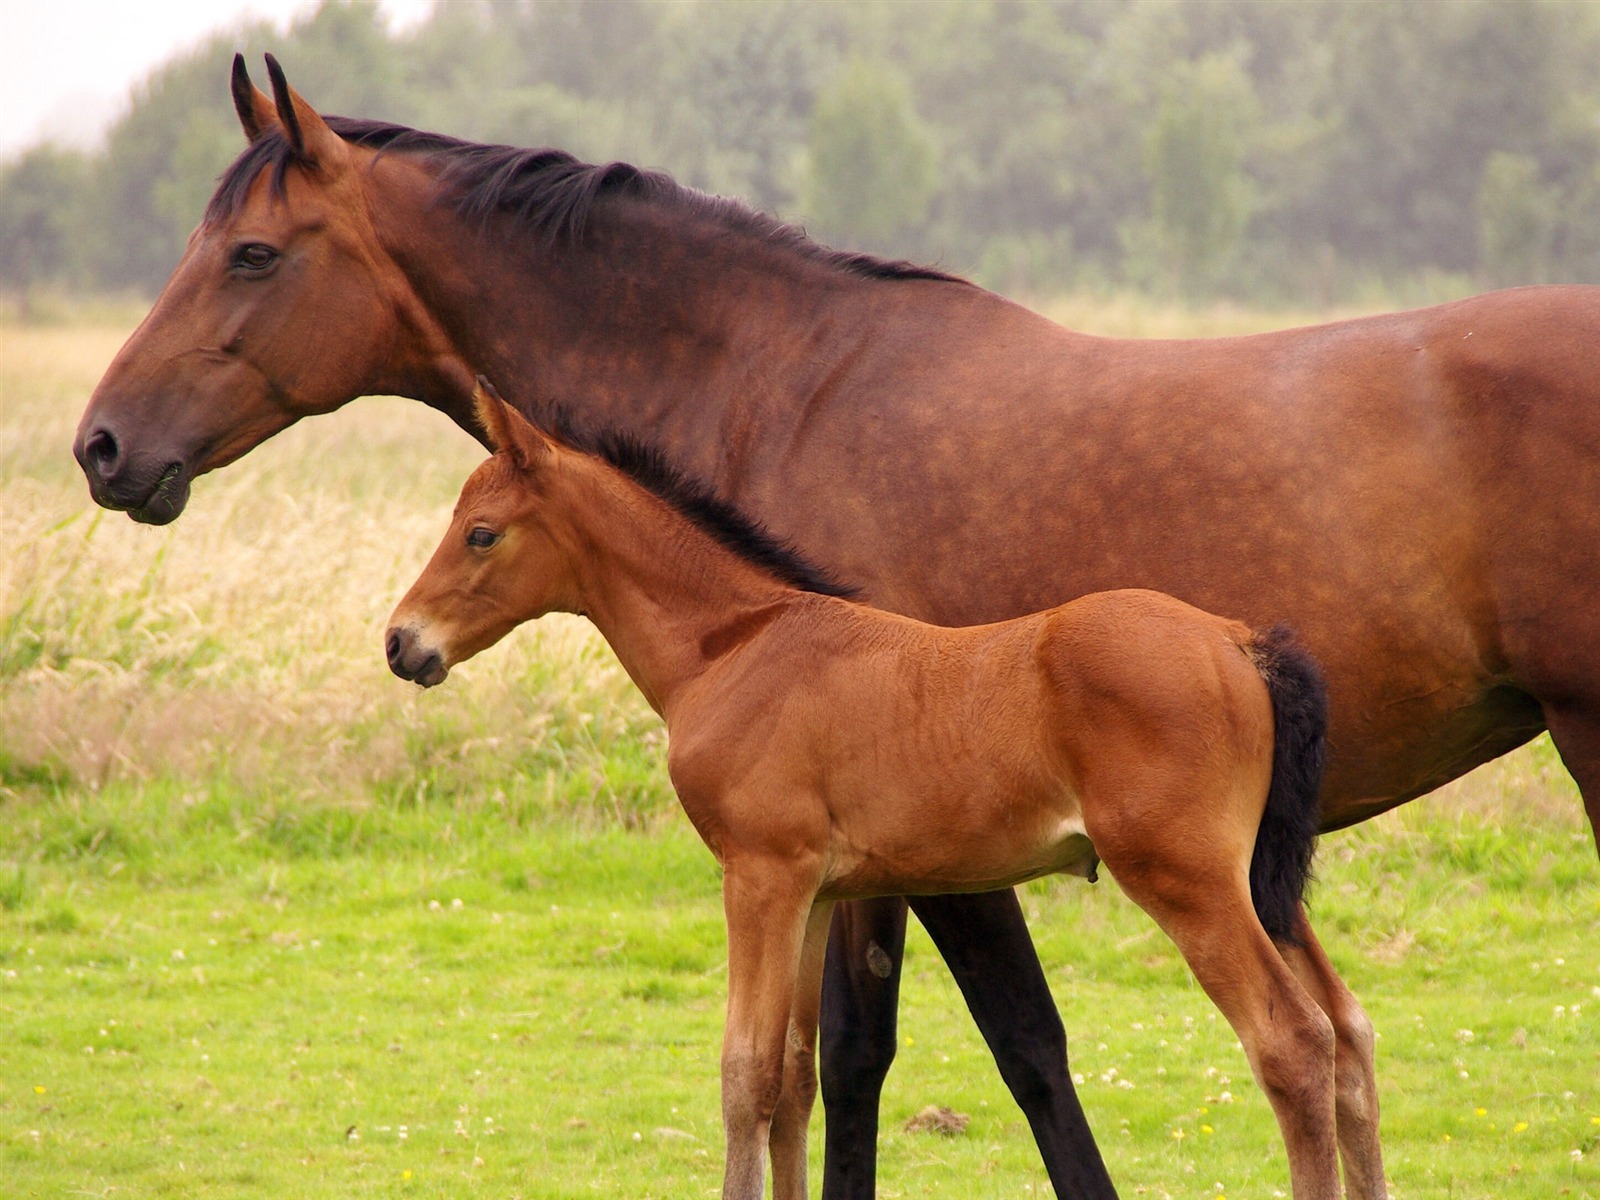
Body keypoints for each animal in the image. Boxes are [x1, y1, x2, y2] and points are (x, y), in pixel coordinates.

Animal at [384, 385, 1363, 1200]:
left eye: (482, 532)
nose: (401, 642)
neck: (737, 644)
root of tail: (1240, 642)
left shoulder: (760, 876)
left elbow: (744, 1073)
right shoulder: (817, 893)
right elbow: (791, 1076)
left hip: (1186, 879)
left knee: (1293, 1042)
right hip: (1258, 884)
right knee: (1348, 1034)